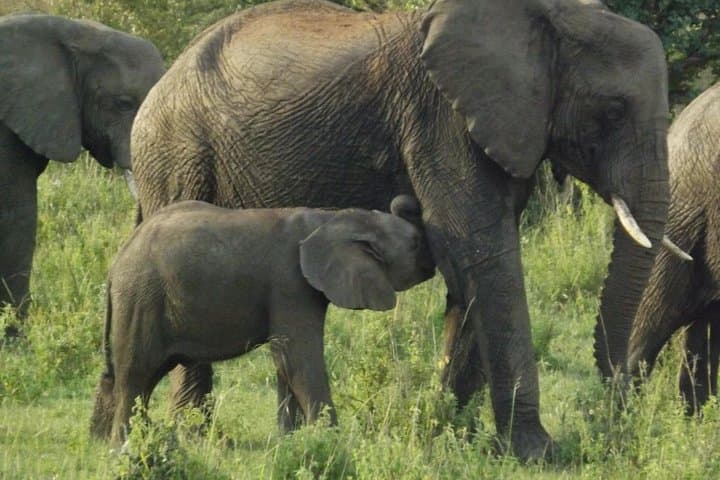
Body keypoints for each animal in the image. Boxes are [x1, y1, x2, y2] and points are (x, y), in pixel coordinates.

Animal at [89, 195, 435, 444]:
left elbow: (285, 362)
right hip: (142, 299)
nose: (433, 266)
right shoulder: (290, 282)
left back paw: (102, 441)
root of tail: (116, 264)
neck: (331, 218)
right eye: (416, 243)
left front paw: (291, 441)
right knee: (135, 375)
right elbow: (298, 359)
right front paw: (332, 441)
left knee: (125, 376)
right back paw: (123, 446)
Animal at [130, 0, 682, 459]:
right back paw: (197, 438)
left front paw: (452, 432)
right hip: (177, 151)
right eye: (612, 111)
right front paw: (536, 453)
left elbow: (469, 271)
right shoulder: (441, 120)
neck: (552, 16)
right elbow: (483, 255)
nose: (613, 414)